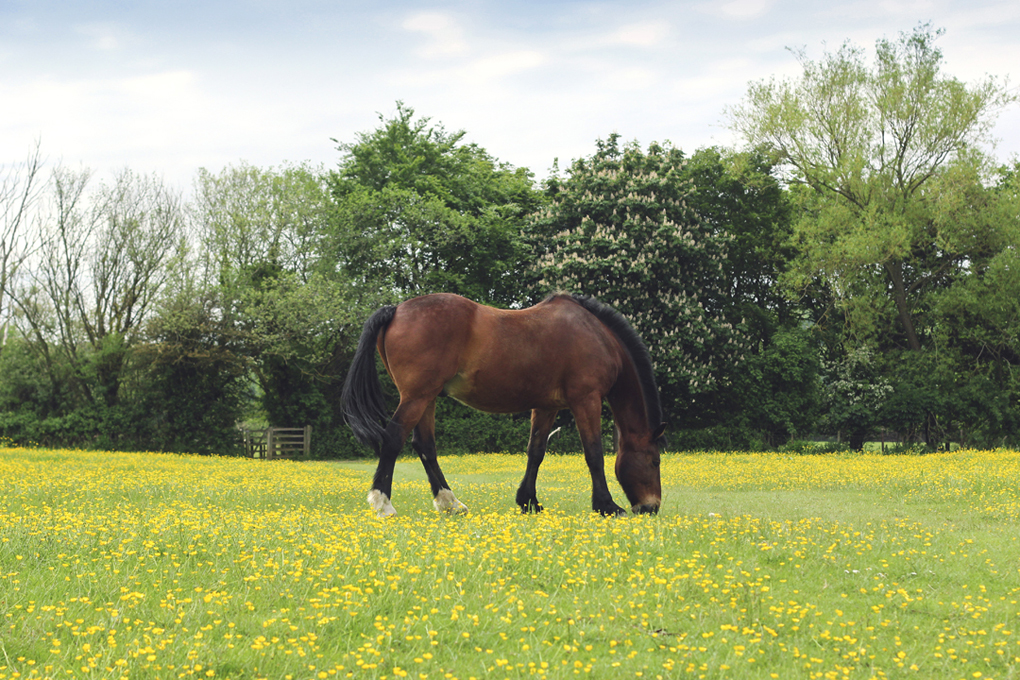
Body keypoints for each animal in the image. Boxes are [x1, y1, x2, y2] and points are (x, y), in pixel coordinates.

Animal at [342, 289, 665, 517]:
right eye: (654, 460)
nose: (651, 507)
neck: (597, 335)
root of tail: (396, 309)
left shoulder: (546, 406)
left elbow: (536, 452)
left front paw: (529, 502)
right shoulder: (586, 400)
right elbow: (594, 454)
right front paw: (607, 506)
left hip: (426, 398)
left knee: (425, 447)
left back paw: (450, 503)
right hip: (416, 397)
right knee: (393, 439)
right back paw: (384, 505)